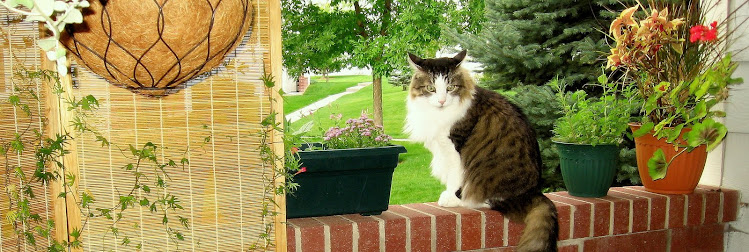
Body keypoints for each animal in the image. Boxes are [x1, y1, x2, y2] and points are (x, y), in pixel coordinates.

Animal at [404, 50, 556, 251]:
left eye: (450, 87)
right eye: (431, 88)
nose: (442, 100)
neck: (439, 114)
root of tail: (534, 191)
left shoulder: (455, 149)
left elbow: (455, 177)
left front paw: (450, 198)